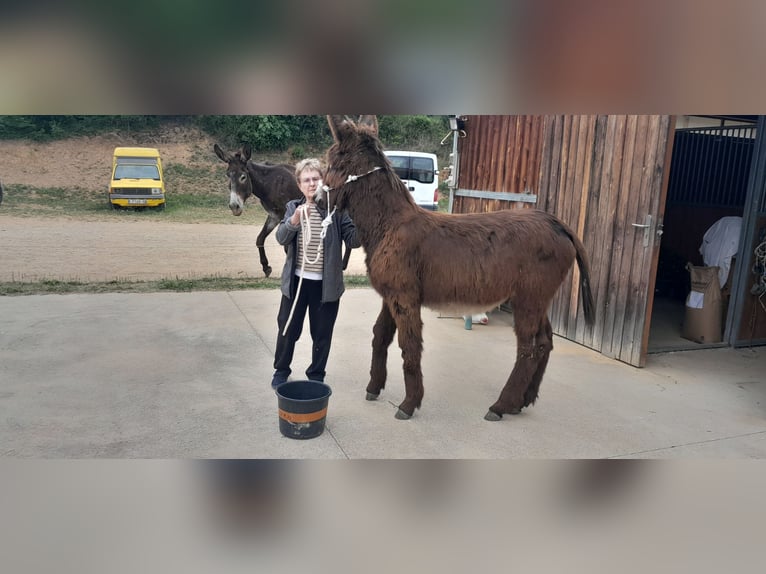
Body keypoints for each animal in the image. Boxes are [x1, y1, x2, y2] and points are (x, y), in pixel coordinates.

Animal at [322, 115, 595, 421]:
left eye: (333, 162)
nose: (319, 202)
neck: (390, 225)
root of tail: (557, 224)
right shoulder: (390, 296)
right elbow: (380, 336)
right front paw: (373, 387)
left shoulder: (404, 297)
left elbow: (410, 345)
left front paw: (409, 403)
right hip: (538, 297)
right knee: (545, 341)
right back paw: (522, 401)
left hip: (529, 298)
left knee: (529, 348)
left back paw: (500, 406)